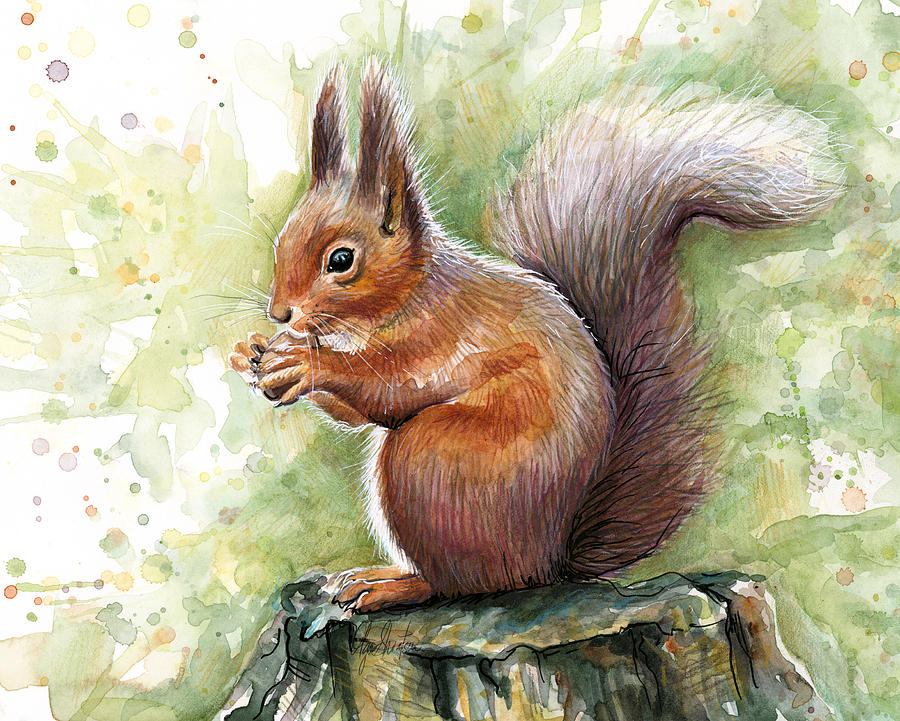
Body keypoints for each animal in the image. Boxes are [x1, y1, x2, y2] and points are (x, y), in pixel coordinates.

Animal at [229, 61, 840, 613]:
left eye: (341, 260)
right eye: (282, 240)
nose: (279, 312)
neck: (412, 294)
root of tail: (548, 560)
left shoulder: (443, 337)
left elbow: (390, 390)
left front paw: (304, 364)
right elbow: (354, 414)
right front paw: (254, 355)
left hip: (427, 464)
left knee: (462, 584)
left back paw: (397, 587)